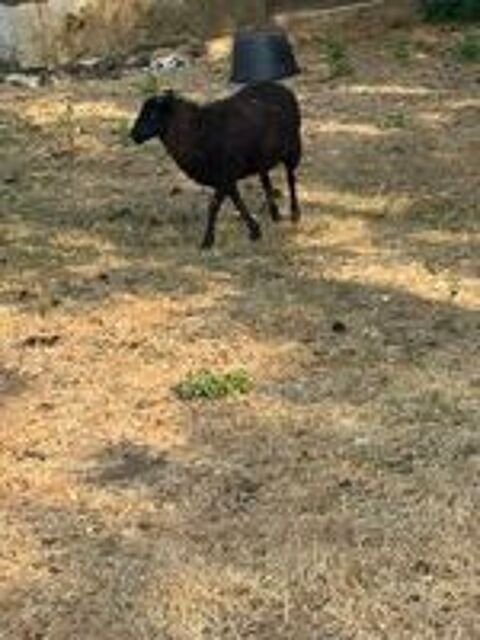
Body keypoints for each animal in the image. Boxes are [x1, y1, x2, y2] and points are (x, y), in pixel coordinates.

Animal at [130, 81, 302, 249]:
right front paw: (254, 231)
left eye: (152, 114)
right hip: (261, 158)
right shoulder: (226, 178)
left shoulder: (225, 175)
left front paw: (207, 241)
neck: (197, 131)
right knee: (265, 181)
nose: (133, 135)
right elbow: (237, 202)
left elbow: (213, 206)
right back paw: (275, 214)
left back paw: (295, 213)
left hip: (292, 148)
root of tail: (283, 88)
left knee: (290, 179)